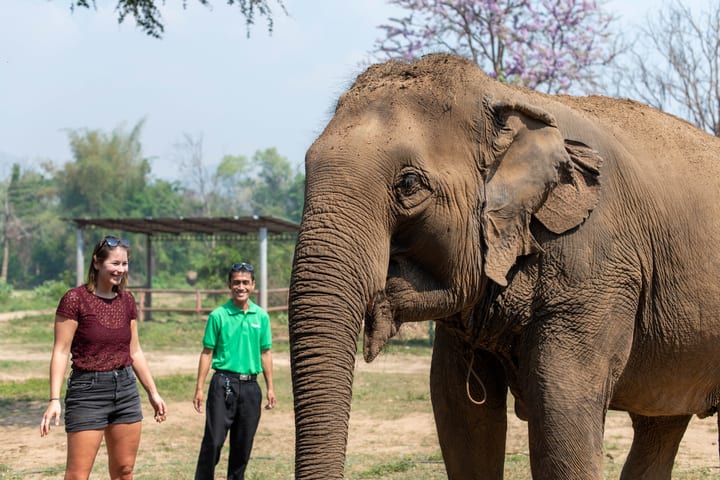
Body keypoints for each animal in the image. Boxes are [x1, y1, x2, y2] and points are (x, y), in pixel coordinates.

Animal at [288, 53, 720, 479]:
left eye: (408, 184)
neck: (505, 96)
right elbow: (460, 415)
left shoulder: (596, 270)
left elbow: (561, 411)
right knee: (660, 423)